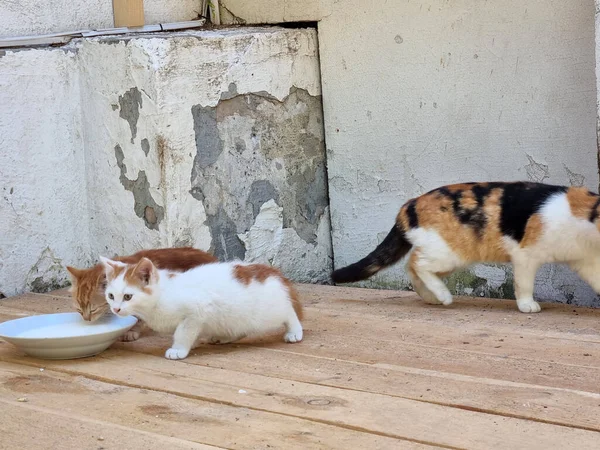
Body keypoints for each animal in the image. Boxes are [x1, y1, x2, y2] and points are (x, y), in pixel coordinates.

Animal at [101, 256, 304, 358]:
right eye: (111, 296)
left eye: (128, 296)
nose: (116, 309)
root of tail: (275, 273)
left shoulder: (197, 310)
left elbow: (183, 332)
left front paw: (178, 349)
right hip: (236, 317)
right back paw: (224, 337)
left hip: (267, 310)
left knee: (289, 312)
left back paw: (294, 331)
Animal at [330, 182, 600, 312]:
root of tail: (410, 204)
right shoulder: (525, 255)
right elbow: (524, 284)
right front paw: (526, 305)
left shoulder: (585, 261)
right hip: (451, 253)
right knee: (418, 262)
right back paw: (443, 295)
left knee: (411, 266)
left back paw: (431, 296)